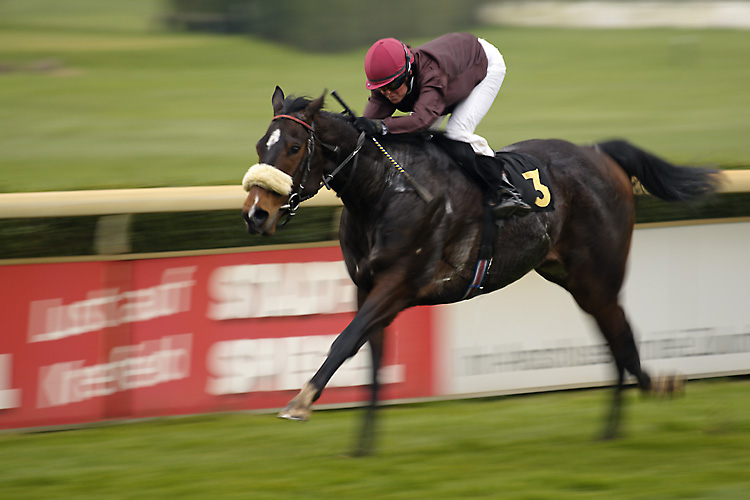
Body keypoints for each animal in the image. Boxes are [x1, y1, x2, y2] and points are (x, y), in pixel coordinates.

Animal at [244, 87, 720, 458]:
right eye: (260, 146)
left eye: (293, 147)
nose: (255, 214)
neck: (382, 189)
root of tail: (599, 153)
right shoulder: (367, 286)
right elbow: (370, 357)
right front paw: (362, 447)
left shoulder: (399, 284)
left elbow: (344, 341)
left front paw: (300, 403)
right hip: (570, 276)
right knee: (612, 337)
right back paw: (614, 426)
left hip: (598, 275)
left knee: (619, 333)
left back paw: (651, 392)